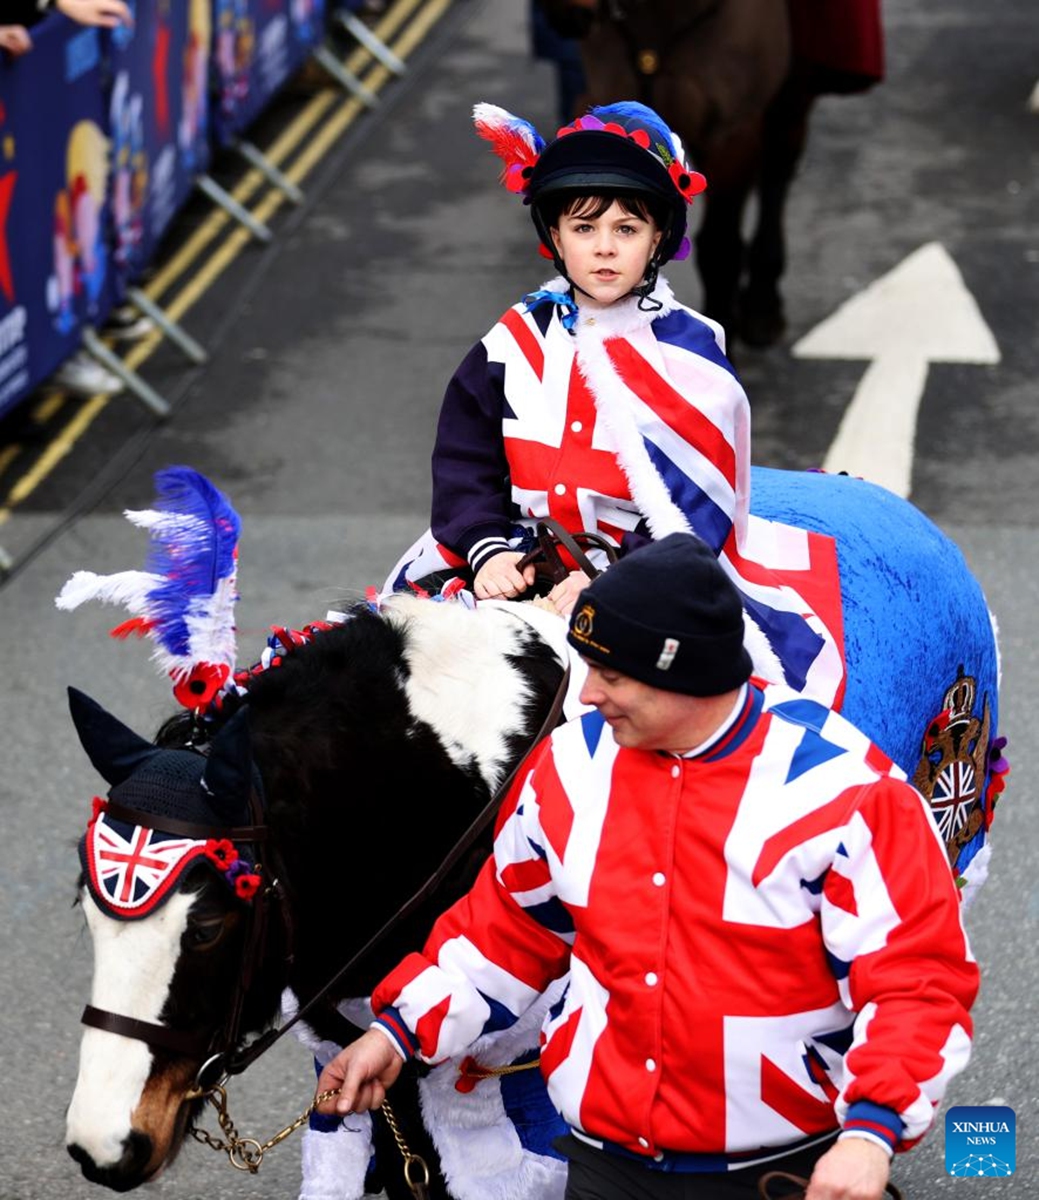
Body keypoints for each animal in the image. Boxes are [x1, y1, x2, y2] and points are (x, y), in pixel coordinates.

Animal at [535, 0, 883, 348]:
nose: (566, 13)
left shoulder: (732, 138)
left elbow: (720, 248)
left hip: (793, 91)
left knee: (777, 171)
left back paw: (763, 303)